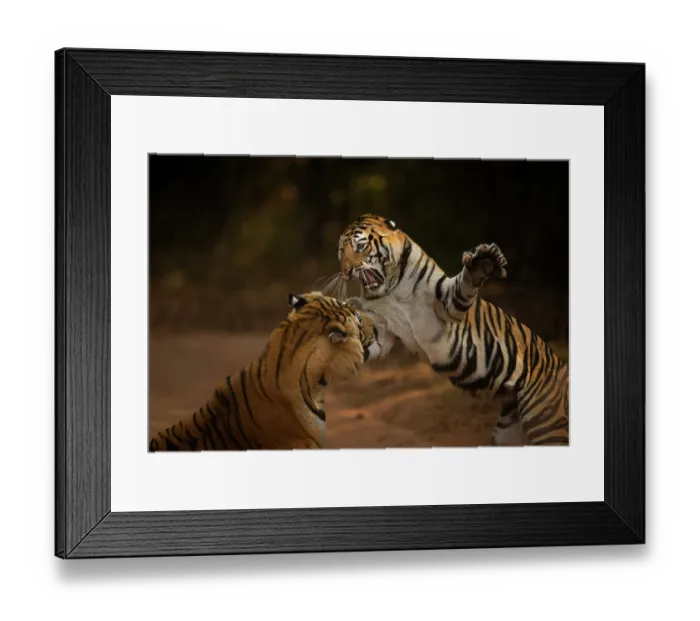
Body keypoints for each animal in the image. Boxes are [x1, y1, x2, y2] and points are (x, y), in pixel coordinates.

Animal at [336, 213, 569, 447]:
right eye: (341, 252)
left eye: (361, 246)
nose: (346, 272)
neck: (391, 287)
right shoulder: (384, 330)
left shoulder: (445, 303)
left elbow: (463, 286)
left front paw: (483, 262)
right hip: (507, 431)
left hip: (546, 425)